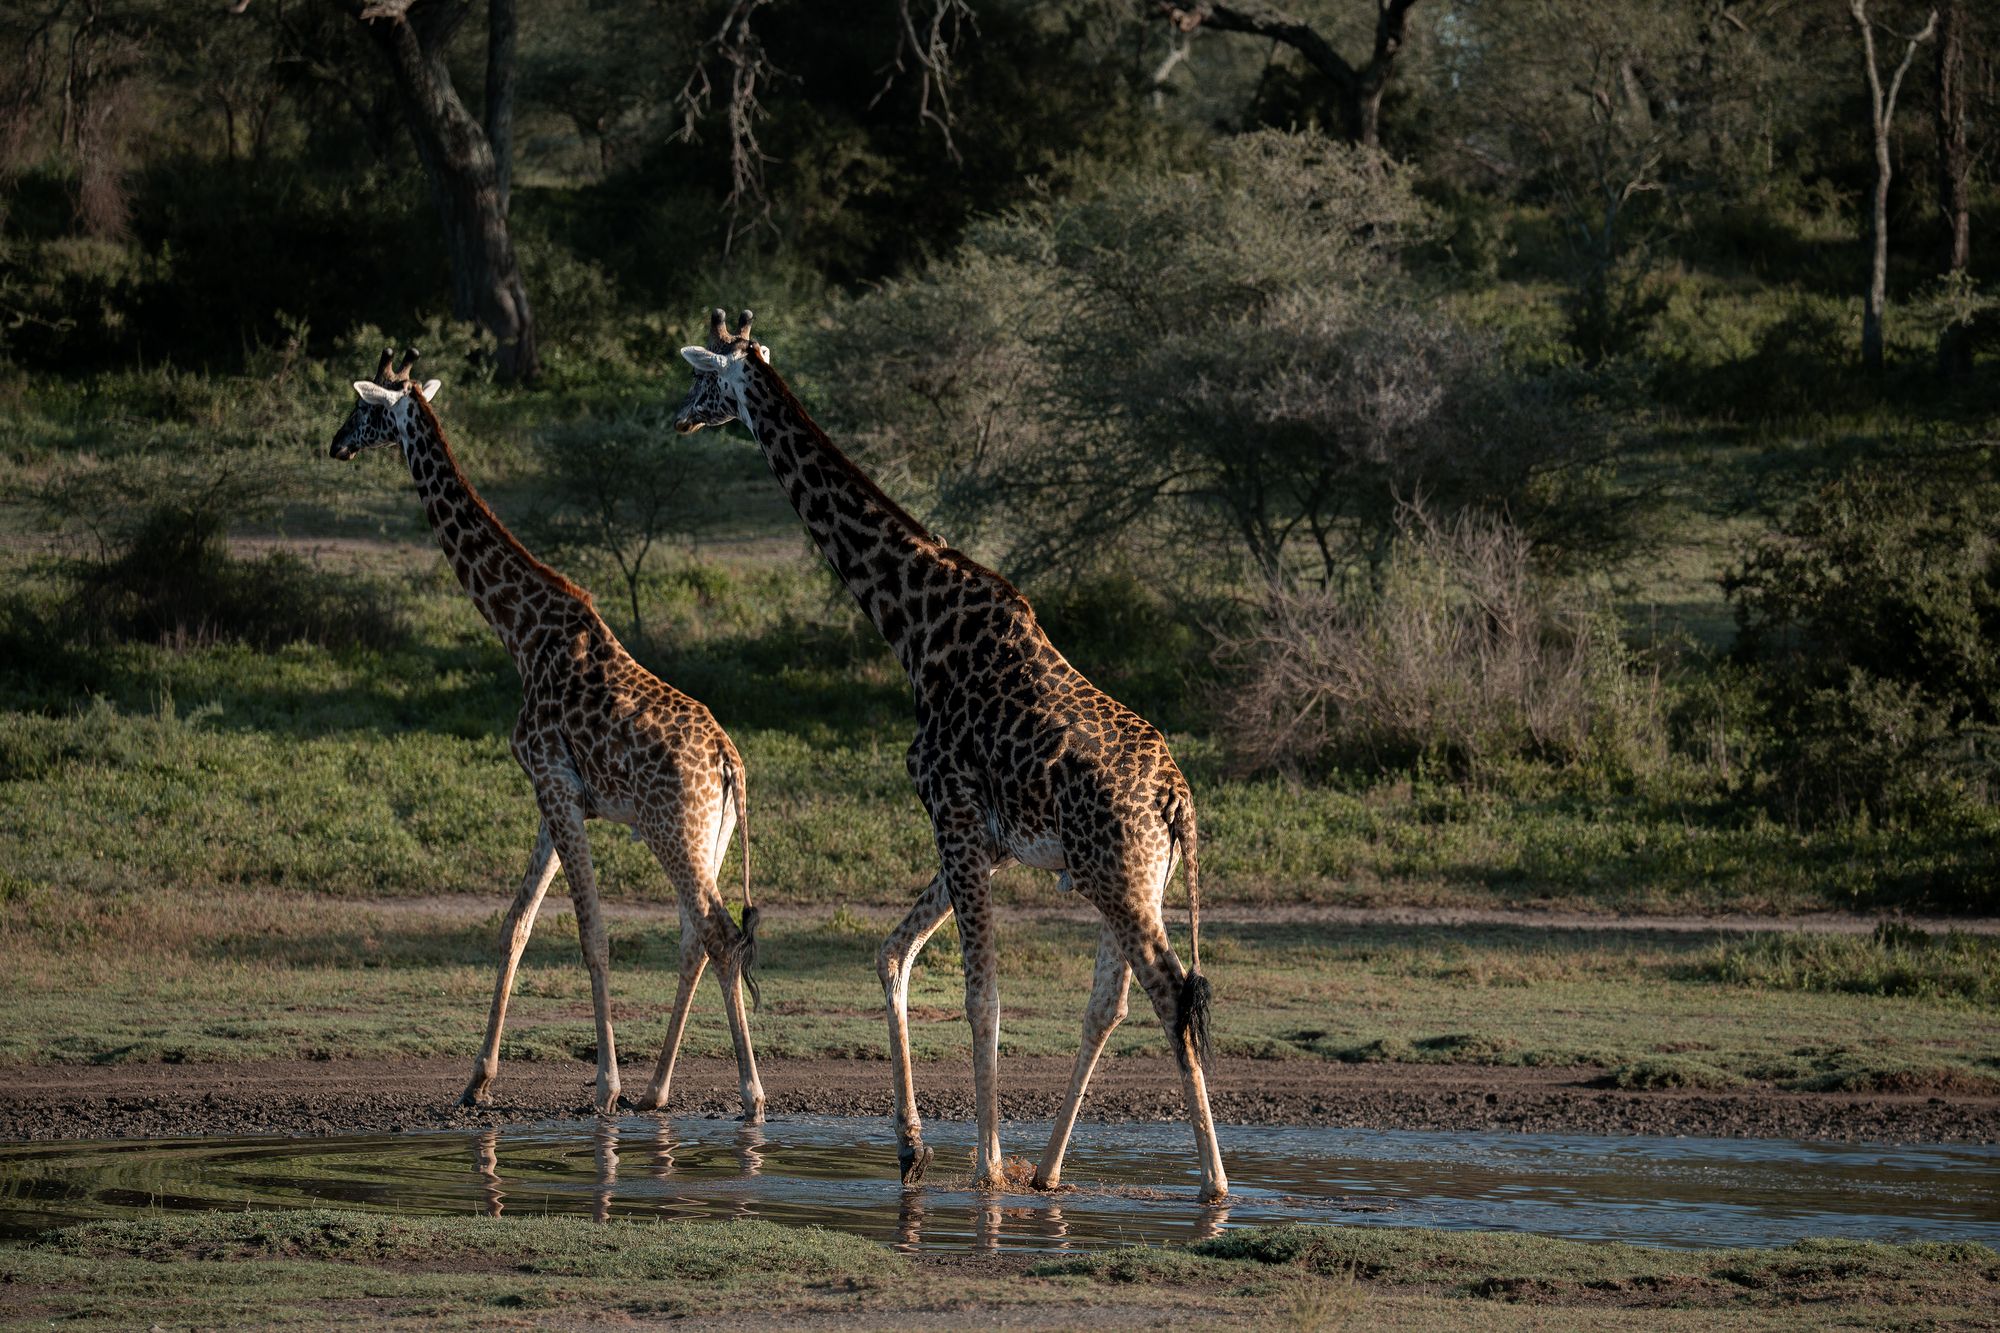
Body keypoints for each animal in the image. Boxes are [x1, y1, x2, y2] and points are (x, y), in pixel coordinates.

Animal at [330, 347, 766, 1122]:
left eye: (363, 407)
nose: (335, 443)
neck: (521, 631)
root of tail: (728, 762)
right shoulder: (553, 792)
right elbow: (516, 925)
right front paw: (477, 1078)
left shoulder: (554, 783)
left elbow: (591, 934)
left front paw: (603, 1083)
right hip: (708, 834)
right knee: (698, 936)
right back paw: (657, 1090)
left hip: (672, 829)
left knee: (717, 931)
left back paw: (747, 1093)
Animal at [674, 310, 1228, 1202]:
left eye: (701, 377)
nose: (679, 417)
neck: (913, 625)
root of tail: (1178, 802)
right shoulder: (985, 837)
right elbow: (892, 954)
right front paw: (913, 1148)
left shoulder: (954, 814)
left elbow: (982, 996)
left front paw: (982, 1164)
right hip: (1131, 876)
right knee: (1112, 1004)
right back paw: (1050, 1171)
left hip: (1118, 875)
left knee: (1172, 992)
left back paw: (1213, 1184)